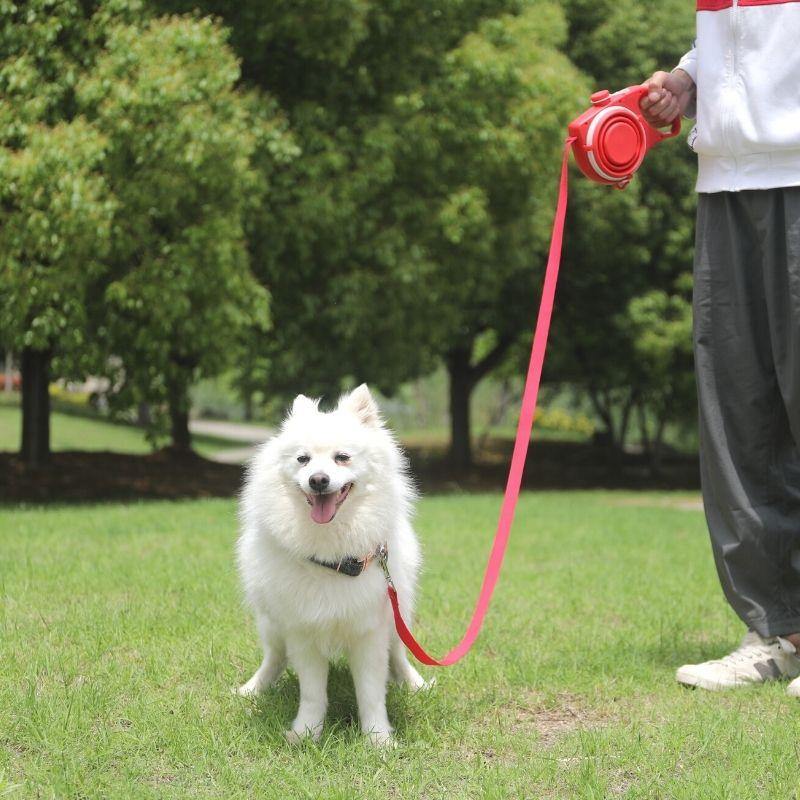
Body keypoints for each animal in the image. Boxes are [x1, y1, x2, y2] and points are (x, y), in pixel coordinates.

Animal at [236, 384, 428, 748]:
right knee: (274, 657)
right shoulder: (303, 631)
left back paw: (415, 684)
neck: (334, 558)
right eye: (303, 459)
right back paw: (253, 689)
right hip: (271, 623)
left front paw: (378, 740)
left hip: (398, 615)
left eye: (342, 457)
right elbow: (312, 693)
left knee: (399, 653)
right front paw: (305, 734)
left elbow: (371, 693)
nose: (318, 480)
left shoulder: (370, 631)